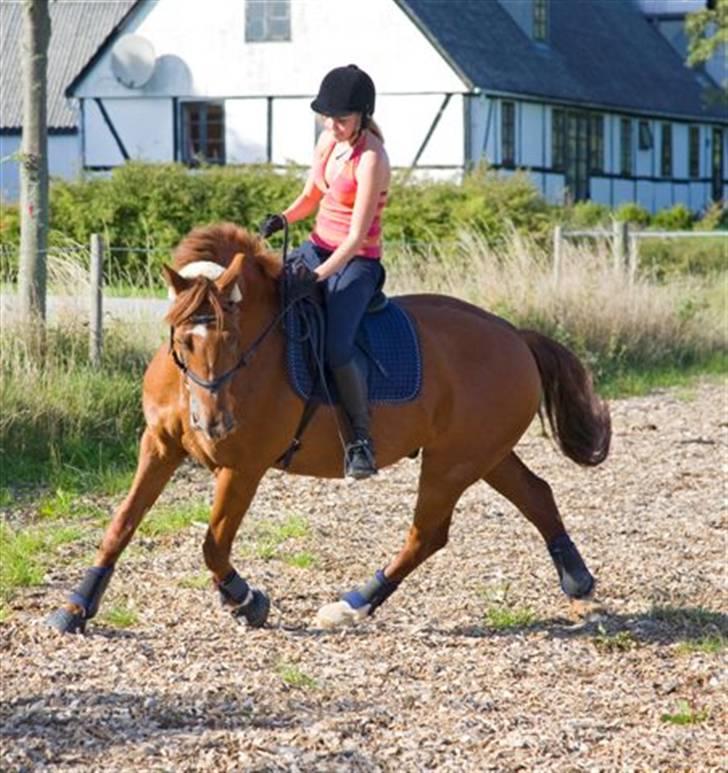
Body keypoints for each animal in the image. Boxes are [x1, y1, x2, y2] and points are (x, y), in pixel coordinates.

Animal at [48, 222, 612, 632]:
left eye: (234, 339)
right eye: (183, 340)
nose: (214, 424)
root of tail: (514, 335)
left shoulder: (243, 467)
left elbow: (213, 544)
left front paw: (246, 600)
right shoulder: (159, 446)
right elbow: (121, 524)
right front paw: (76, 608)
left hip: (453, 463)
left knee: (428, 533)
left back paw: (354, 603)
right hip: (481, 452)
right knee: (535, 494)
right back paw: (578, 581)